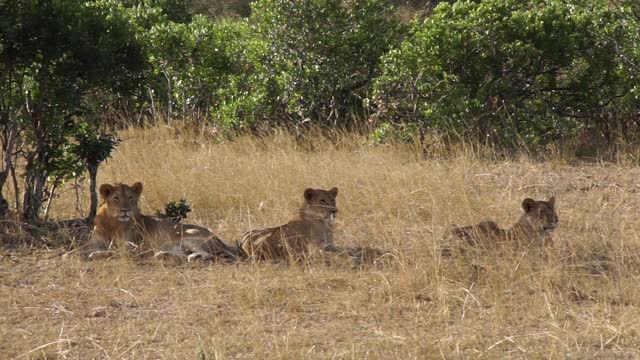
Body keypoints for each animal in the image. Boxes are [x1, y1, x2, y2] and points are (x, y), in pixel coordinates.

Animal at [78, 183, 238, 262]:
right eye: (116, 198)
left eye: (131, 197)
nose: (125, 210)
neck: (112, 222)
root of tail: (219, 239)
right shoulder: (95, 241)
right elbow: (79, 248)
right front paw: (74, 254)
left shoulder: (131, 246)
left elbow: (113, 251)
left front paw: (95, 254)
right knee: (180, 254)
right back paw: (161, 255)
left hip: (188, 235)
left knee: (206, 254)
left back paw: (195, 257)